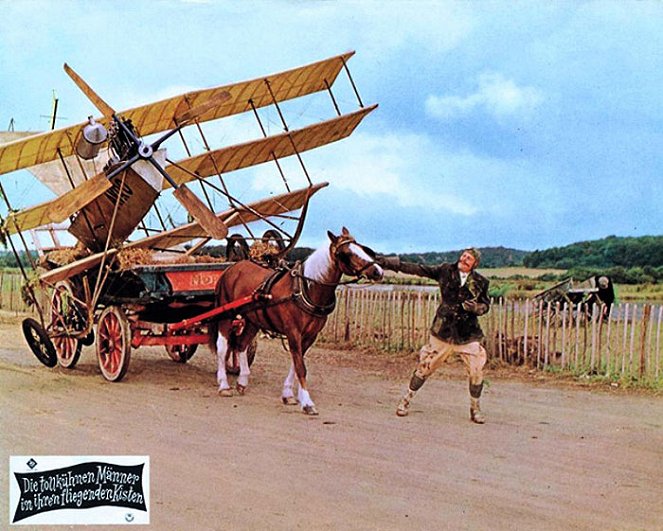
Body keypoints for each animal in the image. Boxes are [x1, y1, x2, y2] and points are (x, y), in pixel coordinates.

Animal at [208, 228, 384, 416]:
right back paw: (224, 385)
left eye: (362, 248)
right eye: (346, 253)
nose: (378, 272)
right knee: (223, 347)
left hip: (253, 320)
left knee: (241, 345)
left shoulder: (310, 336)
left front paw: (288, 394)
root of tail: (231, 268)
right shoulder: (293, 332)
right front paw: (307, 402)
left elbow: (296, 363)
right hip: (226, 315)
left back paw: (242, 382)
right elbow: (301, 367)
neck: (306, 289)